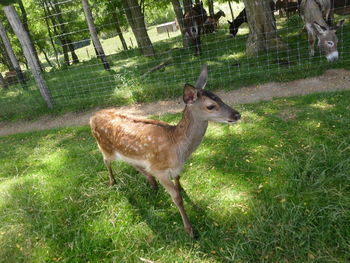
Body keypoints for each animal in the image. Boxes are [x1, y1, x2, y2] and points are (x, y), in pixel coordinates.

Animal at [90, 65, 241, 238]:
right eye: (210, 106)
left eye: (220, 98)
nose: (237, 114)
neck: (178, 149)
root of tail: (92, 118)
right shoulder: (159, 169)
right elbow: (177, 198)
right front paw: (190, 230)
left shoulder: (175, 168)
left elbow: (179, 182)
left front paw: (183, 191)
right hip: (104, 146)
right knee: (106, 160)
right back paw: (113, 181)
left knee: (131, 162)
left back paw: (151, 182)